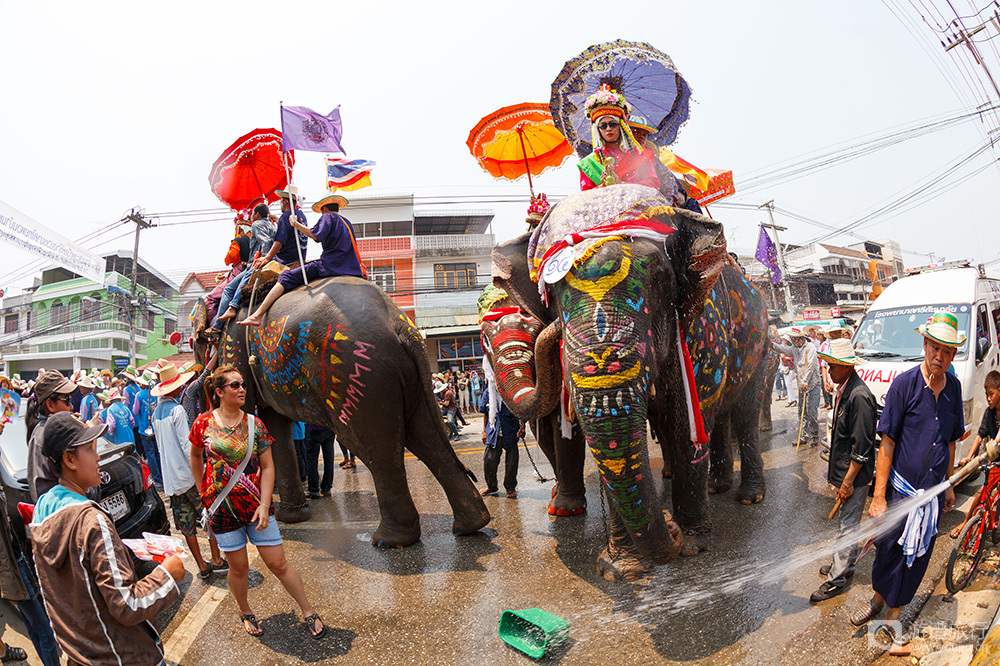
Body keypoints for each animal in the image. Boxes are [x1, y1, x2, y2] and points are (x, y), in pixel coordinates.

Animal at [191, 274, 488, 544]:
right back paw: (471, 525)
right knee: (425, 435)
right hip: (407, 377)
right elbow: (273, 424)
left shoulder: (235, 348)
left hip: (359, 376)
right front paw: (292, 517)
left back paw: (388, 541)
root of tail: (399, 325)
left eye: (198, 343)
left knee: (373, 447)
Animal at [488, 182, 768, 576]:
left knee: (743, 413)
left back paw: (749, 497)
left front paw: (691, 545)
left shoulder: (703, 323)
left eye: (658, 279)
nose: (669, 525)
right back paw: (717, 487)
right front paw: (622, 567)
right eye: (552, 295)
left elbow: (686, 424)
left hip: (762, 344)